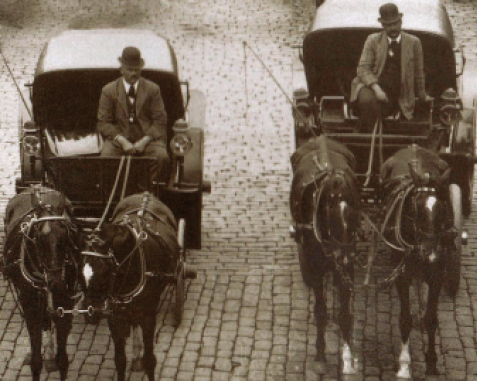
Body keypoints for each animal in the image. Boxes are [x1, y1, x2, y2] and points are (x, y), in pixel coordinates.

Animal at [1, 186, 85, 380]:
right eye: (39, 239)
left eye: (66, 234)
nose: (56, 284)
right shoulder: (30, 306)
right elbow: (36, 361)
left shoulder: (65, 303)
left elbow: (63, 359)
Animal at [81, 193, 179, 380]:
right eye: (80, 269)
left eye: (104, 269)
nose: (90, 312)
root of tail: (146, 194)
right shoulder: (115, 317)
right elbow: (120, 360)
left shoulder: (148, 317)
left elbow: (150, 359)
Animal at [288, 136, 358, 374]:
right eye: (329, 213)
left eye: (355, 215)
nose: (343, 258)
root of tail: (321, 138)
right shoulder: (316, 267)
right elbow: (320, 311)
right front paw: (319, 355)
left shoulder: (348, 267)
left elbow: (346, 314)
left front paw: (348, 357)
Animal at [380, 145, 454, 378]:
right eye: (415, 209)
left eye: (443, 209)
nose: (429, 254)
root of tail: (412, 146)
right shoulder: (402, 274)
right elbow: (405, 319)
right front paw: (404, 365)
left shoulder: (437, 274)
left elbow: (431, 319)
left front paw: (431, 362)